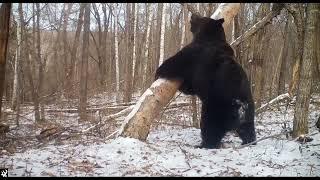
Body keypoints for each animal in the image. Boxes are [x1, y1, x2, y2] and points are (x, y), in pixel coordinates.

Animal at [155, 14, 258, 148]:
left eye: (201, 17)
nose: (193, 14)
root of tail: (240, 107)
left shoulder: (194, 54)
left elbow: (175, 63)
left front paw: (158, 71)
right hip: (249, 112)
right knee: (248, 130)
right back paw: (249, 142)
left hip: (214, 107)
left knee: (210, 128)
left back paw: (204, 144)